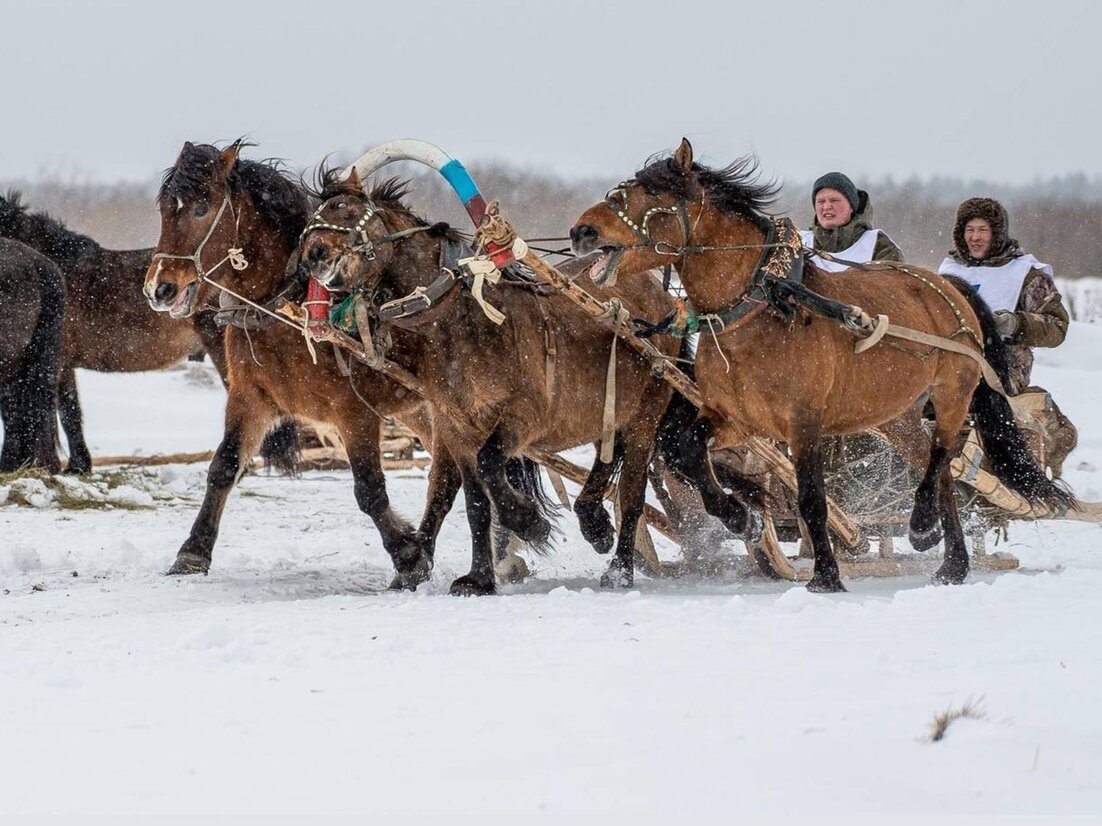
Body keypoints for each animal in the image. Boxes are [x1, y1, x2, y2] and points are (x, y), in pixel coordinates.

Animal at [142, 140, 486, 588]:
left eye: (202, 207)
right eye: (166, 208)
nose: (159, 288)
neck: (287, 305)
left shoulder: (353, 411)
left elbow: (369, 490)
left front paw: (408, 556)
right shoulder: (250, 398)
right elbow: (224, 467)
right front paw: (193, 552)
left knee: (451, 473)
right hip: (418, 410)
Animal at [292, 168, 766, 594]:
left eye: (344, 208)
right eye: (316, 213)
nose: (311, 256)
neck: (458, 322)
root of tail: (663, 296)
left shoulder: (523, 416)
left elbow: (490, 465)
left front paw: (529, 522)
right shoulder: (455, 426)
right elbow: (476, 502)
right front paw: (479, 577)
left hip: (647, 410)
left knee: (633, 488)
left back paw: (623, 568)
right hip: (609, 403)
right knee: (612, 454)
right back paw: (600, 522)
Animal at [570, 139, 1074, 591]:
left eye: (652, 192)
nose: (581, 232)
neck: (759, 305)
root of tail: (949, 285)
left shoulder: (803, 421)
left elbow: (812, 496)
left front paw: (826, 576)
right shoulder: (735, 417)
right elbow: (685, 448)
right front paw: (742, 518)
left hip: (953, 392)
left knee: (943, 454)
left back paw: (921, 525)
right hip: (896, 414)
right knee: (937, 466)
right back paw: (951, 562)